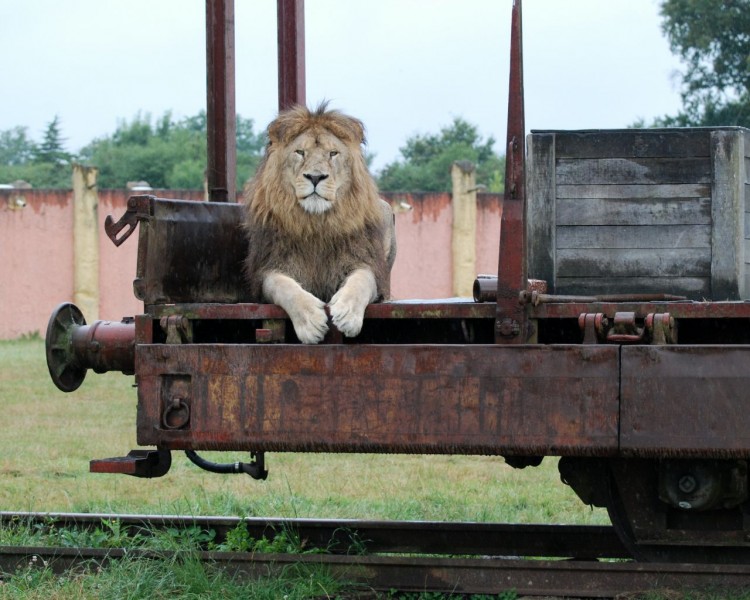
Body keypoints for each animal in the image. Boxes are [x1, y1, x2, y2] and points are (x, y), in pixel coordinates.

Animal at [245, 103, 400, 342]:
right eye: (300, 152)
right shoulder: (267, 269)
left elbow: (361, 282)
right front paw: (311, 322)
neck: (317, 223)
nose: (316, 177)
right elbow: (284, 287)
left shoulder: (366, 262)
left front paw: (347, 314)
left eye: (332, 153)